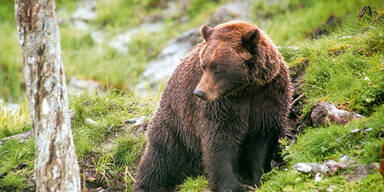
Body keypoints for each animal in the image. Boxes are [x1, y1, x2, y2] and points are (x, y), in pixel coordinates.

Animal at [134, 21, 290, 192]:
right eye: (203, 65)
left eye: (216, 67)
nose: (199, 93)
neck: (245, 88)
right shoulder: (221, 106)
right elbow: (219, 140)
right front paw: (233, 185)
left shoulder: (268, 95)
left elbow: (262, 138)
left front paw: (258, 178)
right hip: (175, 128)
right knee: (159, 159)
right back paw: (146, 185)